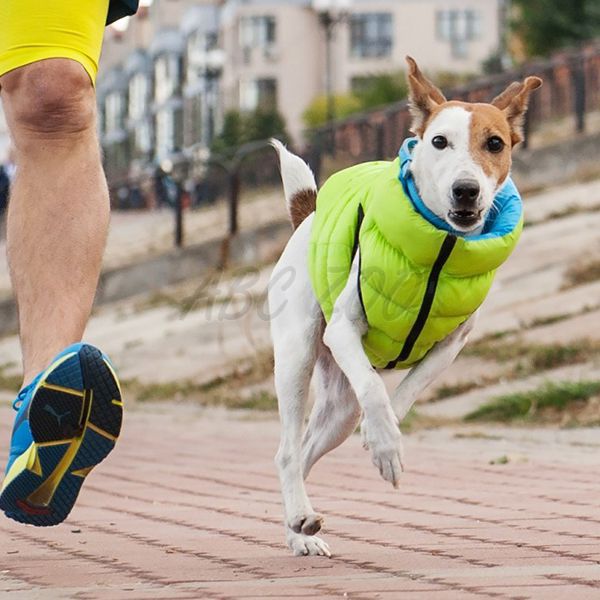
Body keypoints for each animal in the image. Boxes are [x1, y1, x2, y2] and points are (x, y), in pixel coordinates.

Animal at [268, 56, 542, 557]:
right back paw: (299, 516)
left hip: (339, 408)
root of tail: (308, 215)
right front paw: (386, 447)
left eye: (494, 143)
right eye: (439, 141)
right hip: (297, 355)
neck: (441, 249)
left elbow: (406, 392)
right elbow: (375, 388)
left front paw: (385, 435)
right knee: (287, 450)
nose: (466, 190)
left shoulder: (451, 345)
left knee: (305, 452)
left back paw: (299, 531)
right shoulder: (344, 330)